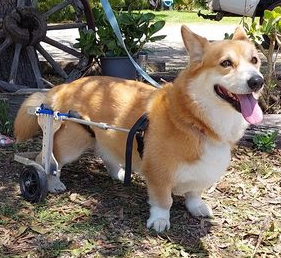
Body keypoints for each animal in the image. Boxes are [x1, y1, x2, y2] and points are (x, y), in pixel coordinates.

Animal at [13, 25, 262, 232]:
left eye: (255, 60)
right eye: (226, 63)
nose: (257, 81)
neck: (195, 120)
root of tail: (65, 86)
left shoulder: (200, 174)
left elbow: (194, 193)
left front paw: (197, 207)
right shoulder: (159, 175)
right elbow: (163, 201)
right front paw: (159, 221)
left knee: (106, 155)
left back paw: (119, 173)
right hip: (71, 142)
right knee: (48, 160)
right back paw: (52, 182)